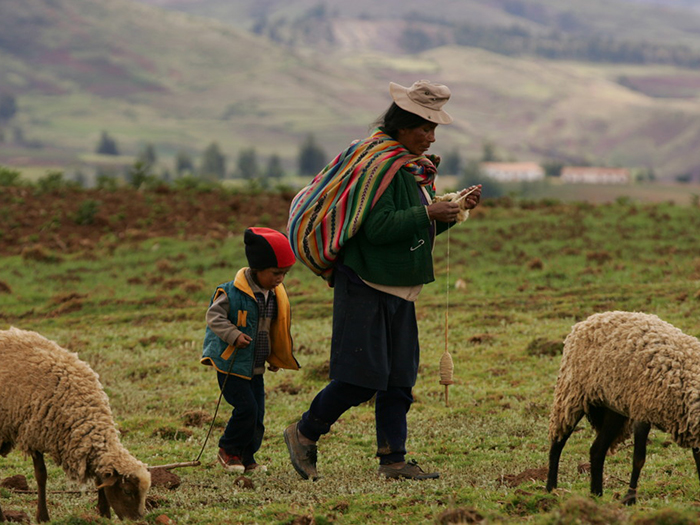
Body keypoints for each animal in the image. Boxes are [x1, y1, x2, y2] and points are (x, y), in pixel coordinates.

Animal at [0, 328, 152, 520]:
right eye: (127, 491)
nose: (138, 520)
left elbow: (99, 479)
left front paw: (104, 513)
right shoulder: (33, 432)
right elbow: (41, 475)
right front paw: (43, 517)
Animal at [548, 312, 700, 504]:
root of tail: (593, 318)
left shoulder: (689, 424)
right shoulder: (642, 412)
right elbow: (639, 459)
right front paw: (630, 498)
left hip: (613, 409)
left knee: (597, 450)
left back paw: (596, 494)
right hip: (572, 393)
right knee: (558, 442)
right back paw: (551, 490)